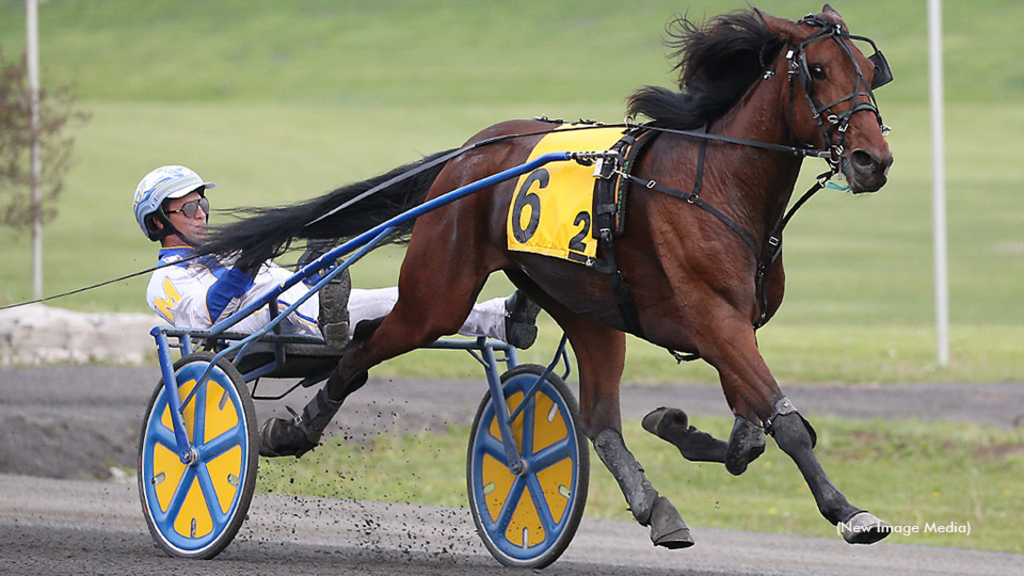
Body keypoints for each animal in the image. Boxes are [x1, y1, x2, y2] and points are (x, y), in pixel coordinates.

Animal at [203, 3, 892, 541]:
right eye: (820, 71)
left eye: (869, 74)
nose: (873, 160)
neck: (718, 184)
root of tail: (470, 151)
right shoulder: (715, 319)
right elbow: (787, 425)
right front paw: (847, 511)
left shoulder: (735, 324)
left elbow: (751, 435)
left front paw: (674, 425)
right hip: (439, 292)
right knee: (366, 346)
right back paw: (294, 428)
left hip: (589, 310)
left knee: (598, 420)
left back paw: (654, 504)